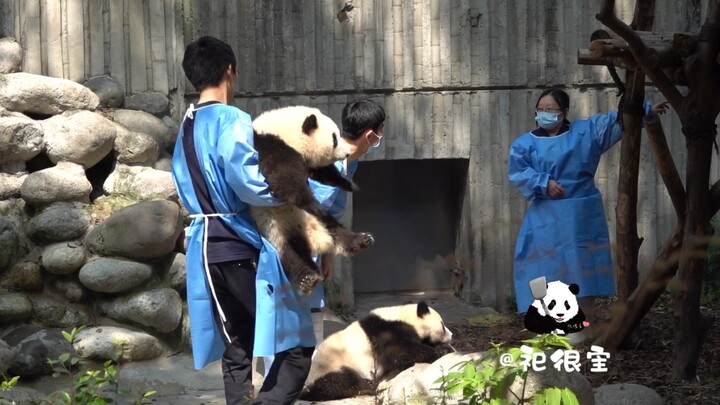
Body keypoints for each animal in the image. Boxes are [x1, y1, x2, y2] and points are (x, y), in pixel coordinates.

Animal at [250, 104, 374, 294]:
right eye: (334, 139)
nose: (347, 154)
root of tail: (314, 239)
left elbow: (324, 172)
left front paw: (349, 184)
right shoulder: (270, 146)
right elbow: (283, 178)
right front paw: (313, 203)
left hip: (322, 224)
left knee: (336, 230)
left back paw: (361, 240)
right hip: (274, 229)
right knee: (290, 253)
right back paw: (307, 279)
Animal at [300, 300, 456, 400]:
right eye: (442, 326)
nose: (452, 335)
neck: (404, 316)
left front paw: (445, 348)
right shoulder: (386, 331)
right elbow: (399, 353)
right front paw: (439, 351)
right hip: (328, 365)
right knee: (338, 382)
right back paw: (368, 386)